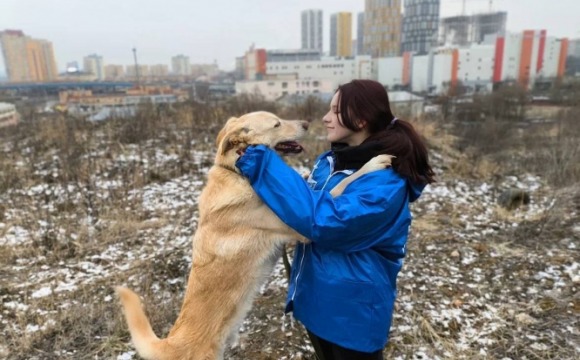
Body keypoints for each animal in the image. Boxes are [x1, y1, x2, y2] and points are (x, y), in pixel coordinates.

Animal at [115, 111, 392, 358]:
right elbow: (339, 187)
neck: (237, 172)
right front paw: (373, 163)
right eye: (277, 123)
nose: (307, 123)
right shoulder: (299, 228)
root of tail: (171, 343)